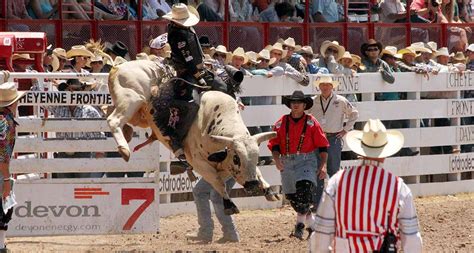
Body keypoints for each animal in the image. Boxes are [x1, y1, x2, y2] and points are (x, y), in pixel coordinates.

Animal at [106, 58, 280, 213]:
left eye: (256, 157)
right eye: (236, 158)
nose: (252, 185)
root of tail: (118, 67)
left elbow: (257, 171)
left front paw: (268, 190)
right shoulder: (198, 162)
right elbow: (217, 181)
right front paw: (229, 204)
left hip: (136, 114)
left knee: (110, 112)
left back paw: (126, 135)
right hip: (131, 101)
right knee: (113, 120)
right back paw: (124, 149)